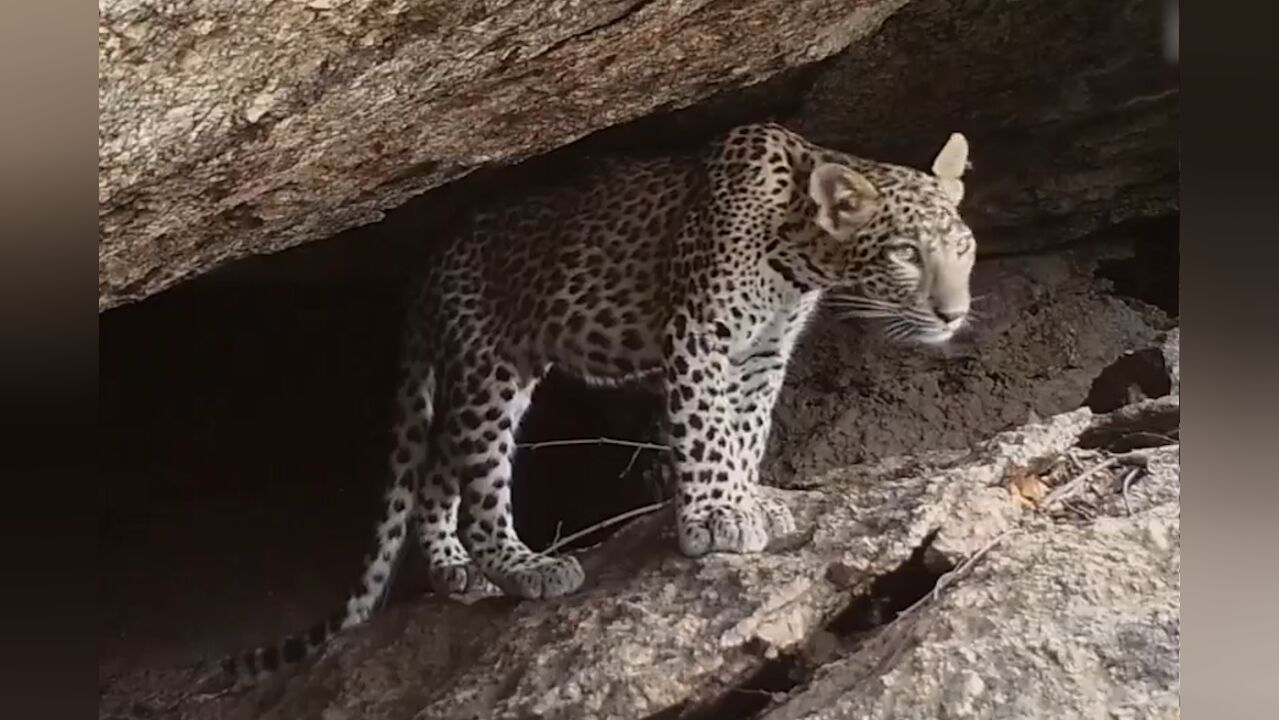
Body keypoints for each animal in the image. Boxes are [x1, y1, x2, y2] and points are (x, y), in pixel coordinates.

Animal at [219, 122, 972, 685]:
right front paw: (713, 519)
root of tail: (430, 266)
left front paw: (747, 500)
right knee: (479, 486)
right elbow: (707, 430)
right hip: (490, 370)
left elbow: (746, 430)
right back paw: (522, 567)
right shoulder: (698, 336)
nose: (954, 312)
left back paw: (455, 570)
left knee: (436, 470)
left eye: (962, 246)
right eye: (906, 254)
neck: (800, 253)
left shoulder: (763, 352)